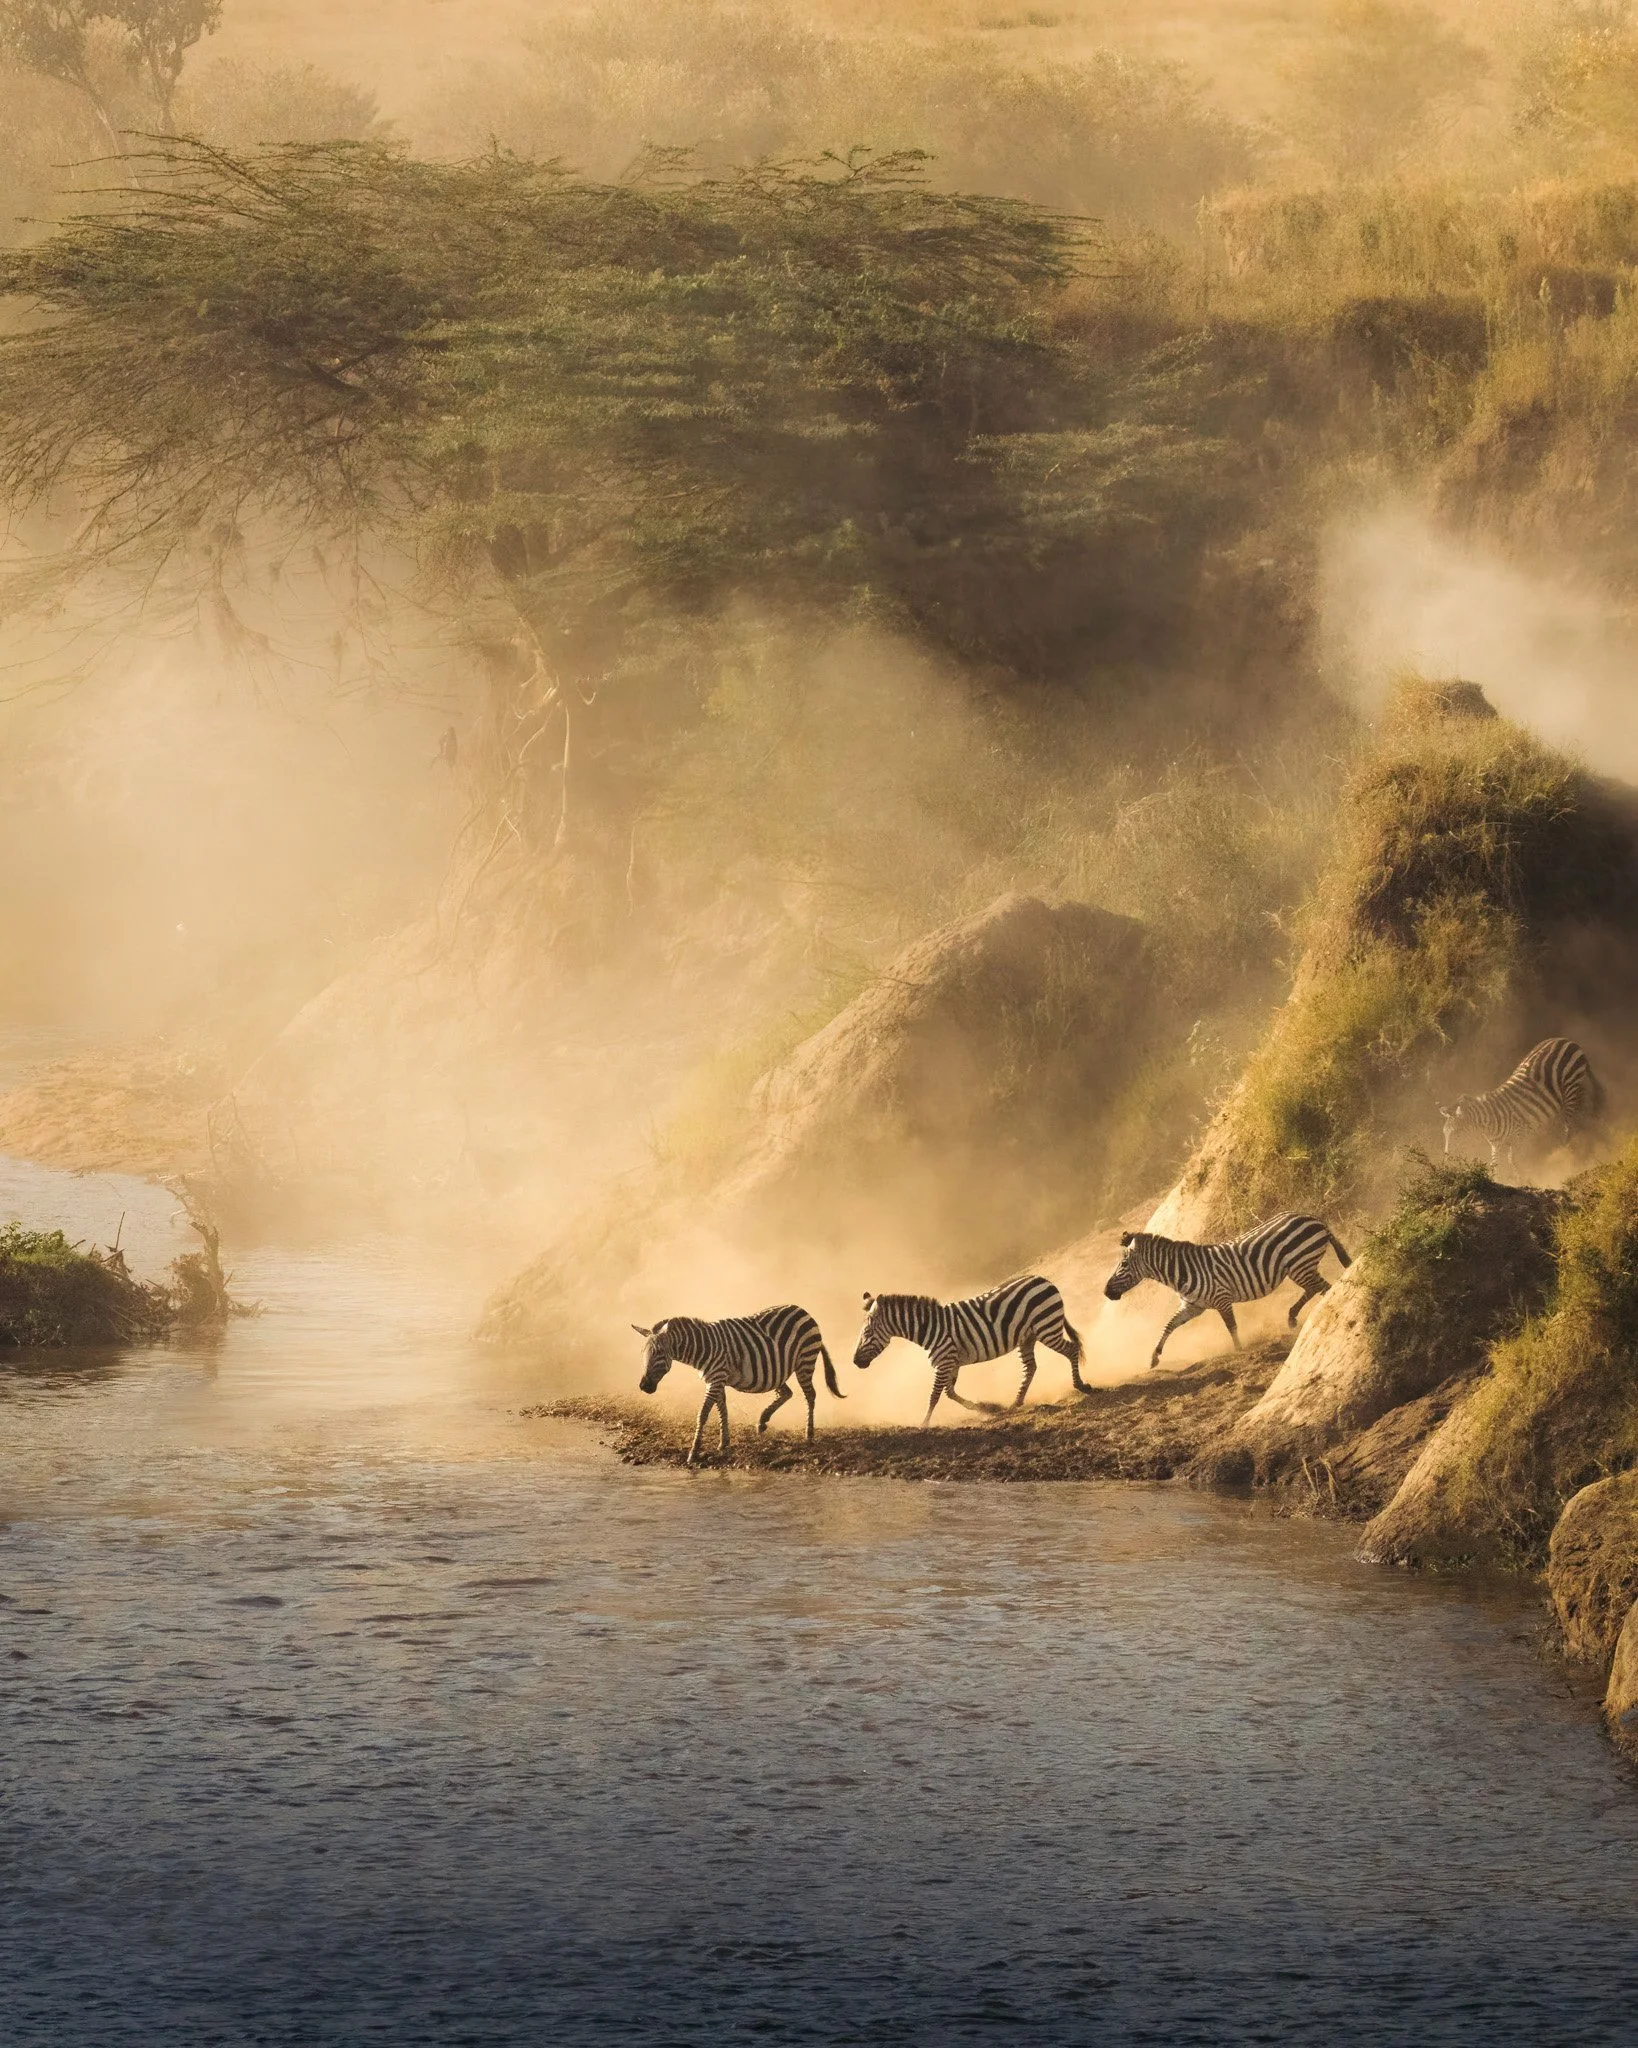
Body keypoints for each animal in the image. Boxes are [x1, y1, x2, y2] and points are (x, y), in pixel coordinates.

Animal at [634, 1305, 842, 1466]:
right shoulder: (716, 1380)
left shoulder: (716, 1378)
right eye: (643, 1353)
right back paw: (762, 1421)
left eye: (659, 1353)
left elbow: (703, 1414)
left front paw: (693, 1452)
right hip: (777, 1371)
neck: (702, 1349)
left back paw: (809, 1434)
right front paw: (723, 1443)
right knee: (786, 1393)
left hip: (805, 1362)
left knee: (810, 1395)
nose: (644, 1386)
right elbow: (722, 1409)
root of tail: (803, 1311)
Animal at [852, 1275, 1087, 1426]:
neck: (929, 1328)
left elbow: (934, 1395)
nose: (855, 1362)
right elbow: (950, 1393)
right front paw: (986, 1407)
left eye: (867, 1333)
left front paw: (924, 1423)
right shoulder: (951, 1363)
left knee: (1071, 1349)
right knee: (1031, 1367)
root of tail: (1043, 1280)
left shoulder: (944, 1361)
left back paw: (1081, 1386)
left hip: (1047, 1327)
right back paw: (1016, 1402)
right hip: (1028, 1336)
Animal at [1103, 1214, 1351, 1371]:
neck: (1183, 1271)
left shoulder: (1221, 1299)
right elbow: (1169, 1325)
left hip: (1300, 1264)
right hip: (1300, 1267)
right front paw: (1154, 1357)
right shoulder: (1193, 1306)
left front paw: (1239, 1351)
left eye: (1123, 1264)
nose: (1106, 1292)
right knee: (1315, 1288)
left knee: (1324, 1288)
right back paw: (1292, 1317)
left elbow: (1231, 1326)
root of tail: (1312, 1218)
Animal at [1440, 1037, 1603, 1167]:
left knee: (1570, 1123)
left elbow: (1513, 1162)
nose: (1446, 1160)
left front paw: (1522, 1178)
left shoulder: (1519, 1138)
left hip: (1571, 1086)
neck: (1489, 1124)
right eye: (1444, 1134)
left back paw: (1566, 1149)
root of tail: (1566, 1040)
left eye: (1457, 1134)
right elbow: (1495, 1166)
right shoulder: (1496, 1146)